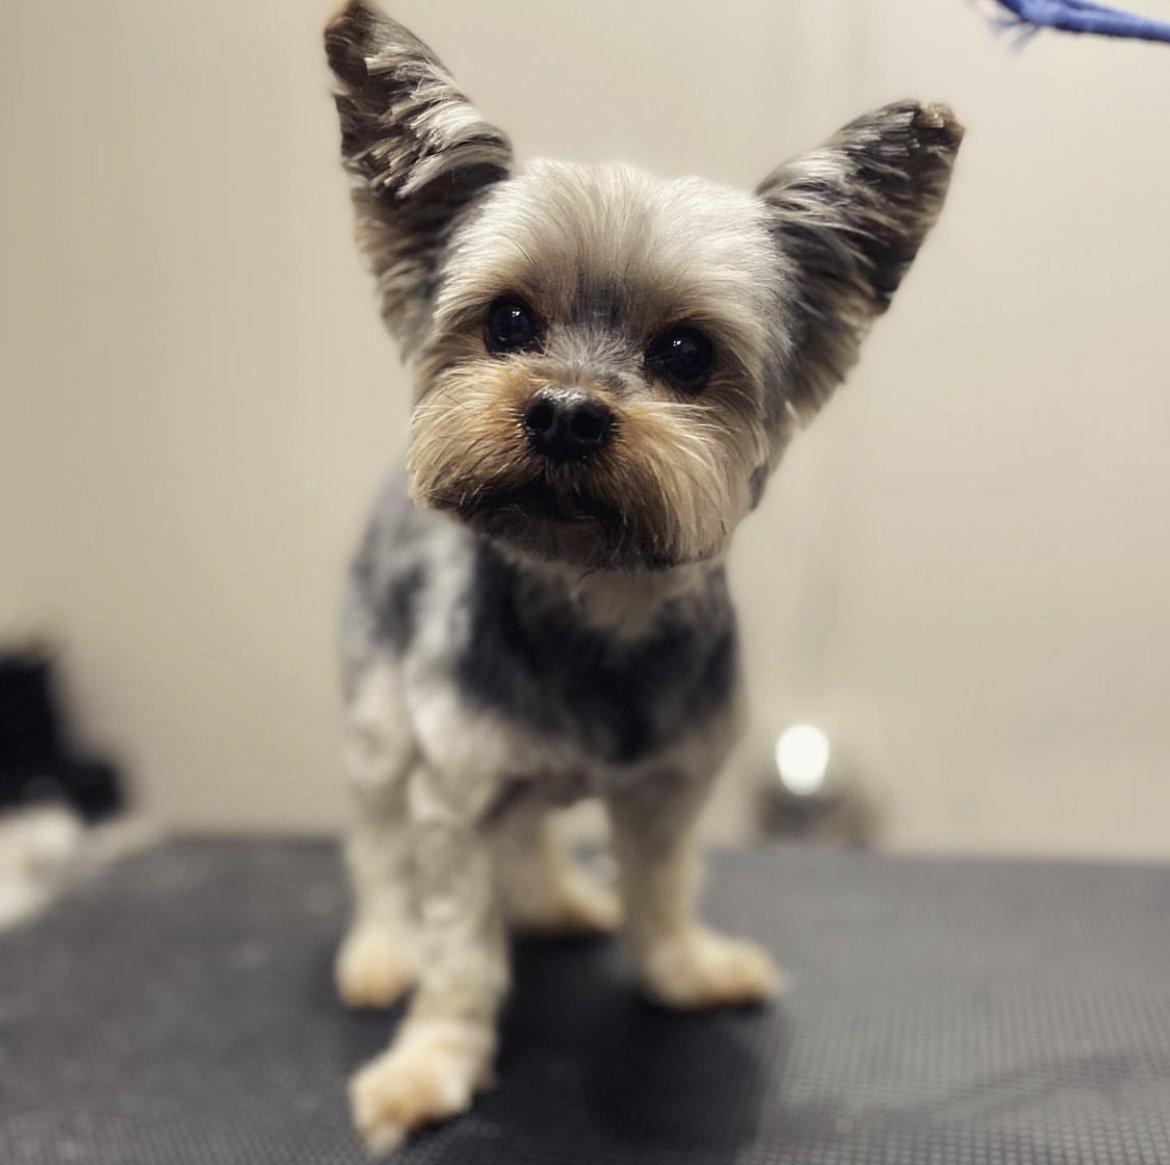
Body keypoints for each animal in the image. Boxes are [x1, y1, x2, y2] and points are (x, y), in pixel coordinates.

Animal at [322, 4, 959, 1150]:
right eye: (509, 322)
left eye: (687, 354)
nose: (567, 411)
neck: (595, 603)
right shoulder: (454, 787)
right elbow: (459, 952)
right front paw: (430, 1065)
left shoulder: (673, 782)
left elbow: (661, 889)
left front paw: (683, 970)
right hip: (383, 720)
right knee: (380, 842)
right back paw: (383, 947)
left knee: (530, 828)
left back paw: (554, 897)